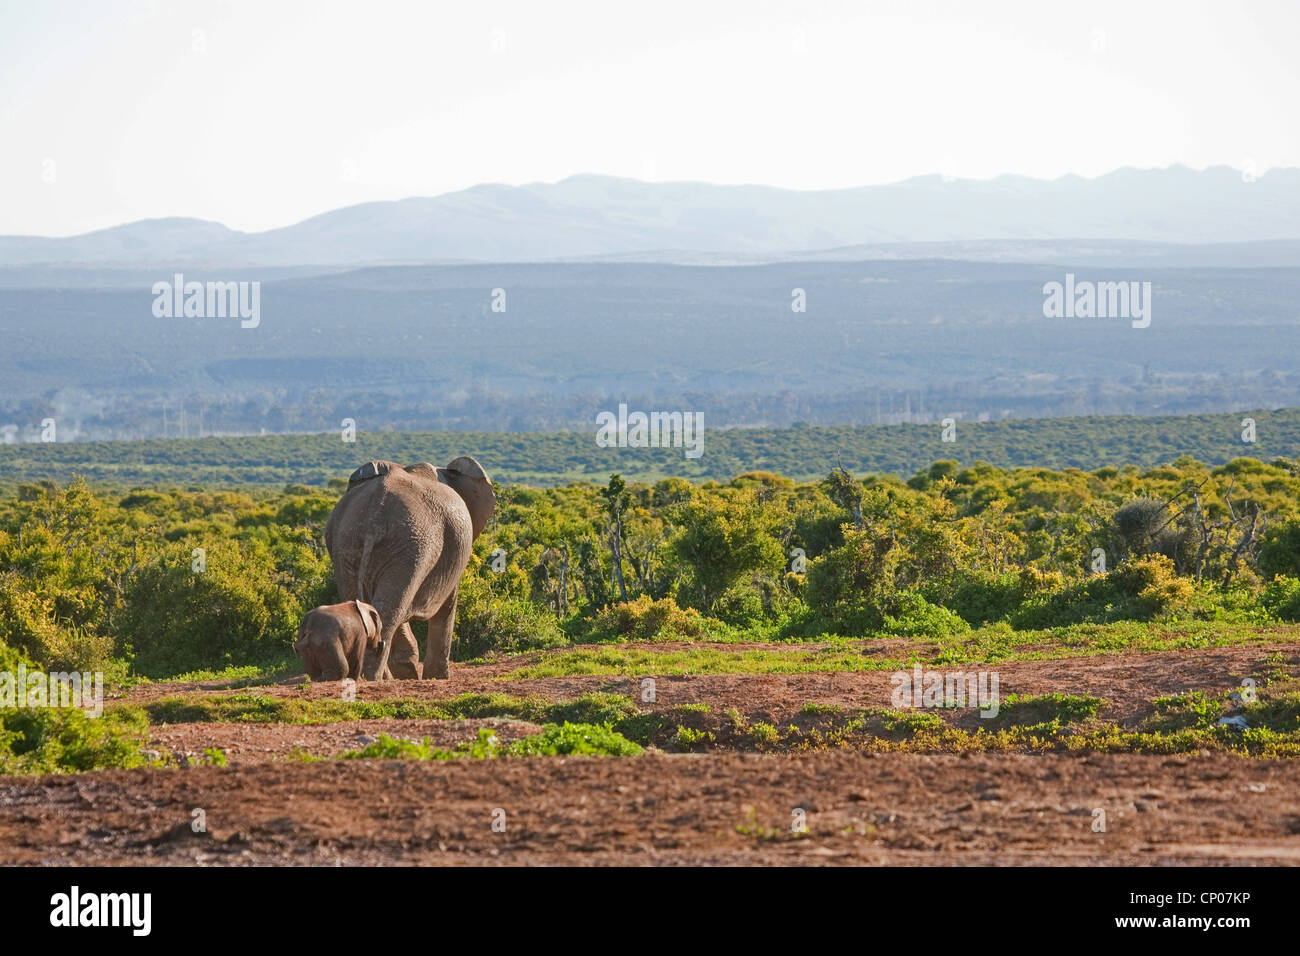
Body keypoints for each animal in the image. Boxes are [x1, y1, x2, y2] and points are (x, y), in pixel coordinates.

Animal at [325, 455, 496, 681]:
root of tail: (374, 519)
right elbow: (447, 605)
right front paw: (437, 677)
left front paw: (410, 671)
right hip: (413, 545)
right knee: (390, 610)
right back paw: (374, 679)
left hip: (349, 544)